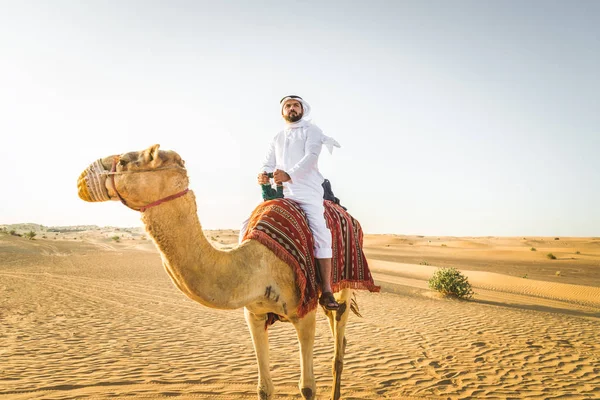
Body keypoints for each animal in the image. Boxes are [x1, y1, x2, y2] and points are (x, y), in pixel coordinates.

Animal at [77, 144, 364, 400]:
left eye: (124, 161)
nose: (81, 180)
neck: (260, 265)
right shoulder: (254, 314)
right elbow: (264, 388)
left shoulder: (303, 313)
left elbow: (307, 388)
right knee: (339, 336)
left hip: (341, 287)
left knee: (338, 346)